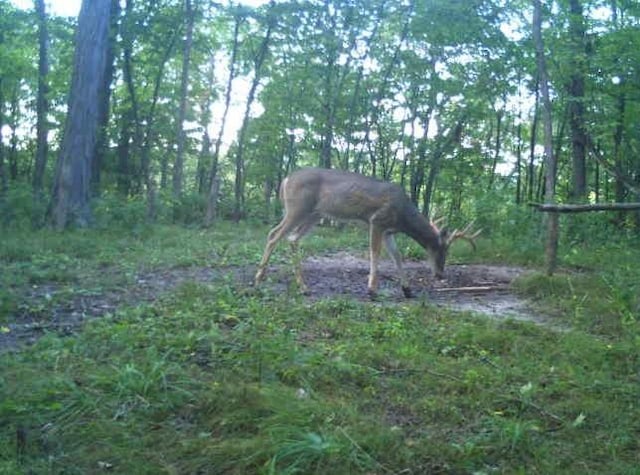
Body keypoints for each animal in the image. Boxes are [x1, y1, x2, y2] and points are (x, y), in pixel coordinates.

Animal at [252, 168, 478, 298]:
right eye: (441, 250)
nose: (440, 274)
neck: (403, 216)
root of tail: (285, 180)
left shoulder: (389, 231)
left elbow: (397, 257)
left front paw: (407, 289)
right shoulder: (376, 221)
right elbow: (374, 253)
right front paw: (372, 290)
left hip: (314, 214)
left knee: (291, 238)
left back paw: (303, 287)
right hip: (298, 208)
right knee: (273, 234)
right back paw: (258, 278)